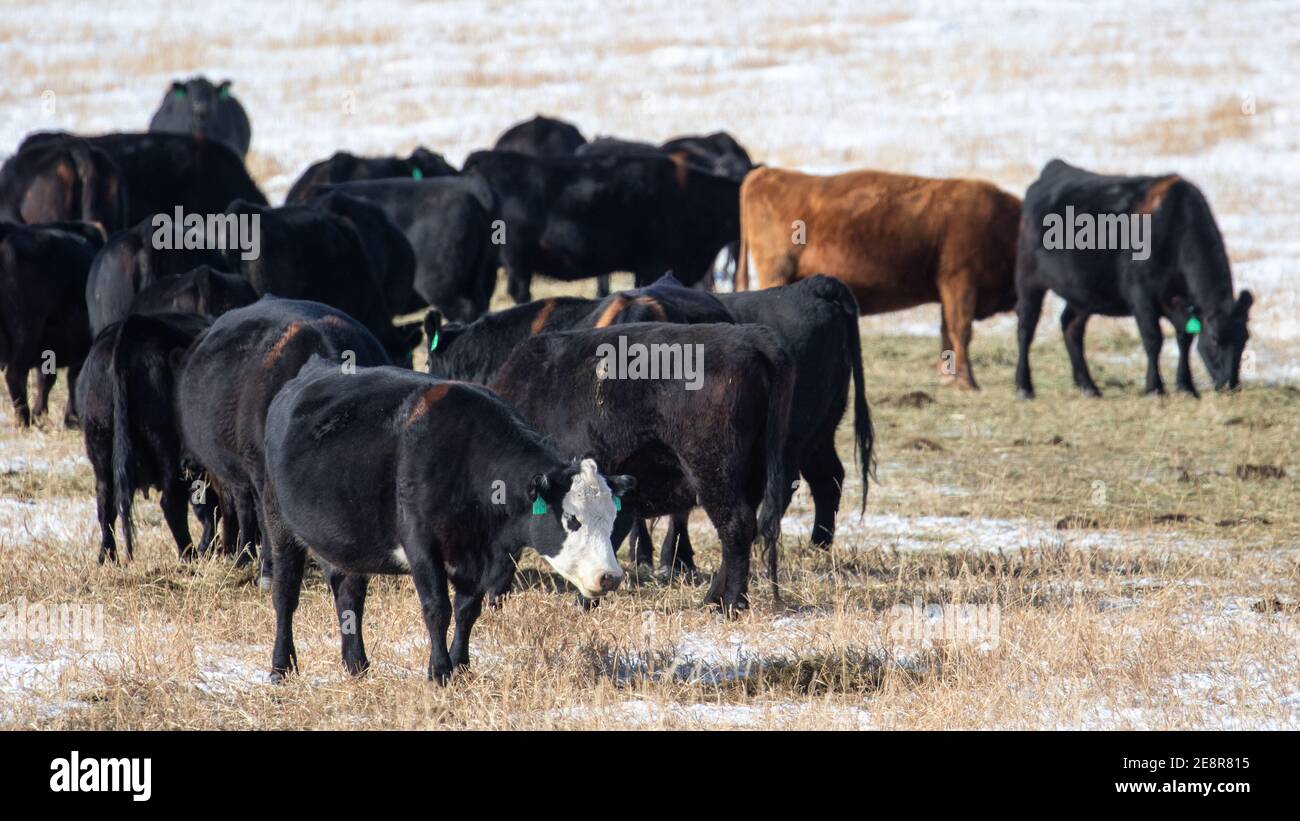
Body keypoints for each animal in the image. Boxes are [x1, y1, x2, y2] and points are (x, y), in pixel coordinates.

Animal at [77, 312, 215, 563]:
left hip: (99, 444)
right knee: (172, 504)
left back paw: (108, 557)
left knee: (105, 501)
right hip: (168, 450)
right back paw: (190, 555)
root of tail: (132, 326)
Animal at [261, 359, 634, 682]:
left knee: (349, 596)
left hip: (346, 546)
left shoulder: (481, 556)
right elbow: (437, 609)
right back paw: (281, 668)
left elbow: (468, 610)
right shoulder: (421, 546)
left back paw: (357, 666)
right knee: (285, 596)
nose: (611, 577)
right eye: (571, 518)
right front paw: (439, 672)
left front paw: (461, 667)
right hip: (278, 525)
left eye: (612, 518)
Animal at [488, 322, 794, 613]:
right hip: (750, 475)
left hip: (713, 473)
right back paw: (713, 600)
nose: (492, 599)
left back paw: (731, 604)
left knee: (735, 525)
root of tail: (752, 337)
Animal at [737, 166, 1020, 390]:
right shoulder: (960, 281)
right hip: (776, 275)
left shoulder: (948, 290)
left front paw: (949, 376)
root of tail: (765, 174)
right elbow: (961, 331)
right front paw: (968, 382)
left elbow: (947, 331)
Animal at [1014, 159, 1254, 398]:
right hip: (1029, 279)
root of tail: (1055, 167)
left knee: (1071, 327)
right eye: (1214, 338)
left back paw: (1088, 386)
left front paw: (1186, 386)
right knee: (1026, 327)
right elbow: (1153, 339)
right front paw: (1154, 388)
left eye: (1245, 338)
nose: (1231, 384)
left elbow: (1185, 339)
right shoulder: (1141, 296)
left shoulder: (1178, 304)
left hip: (1084, 294)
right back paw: (1024, 387)